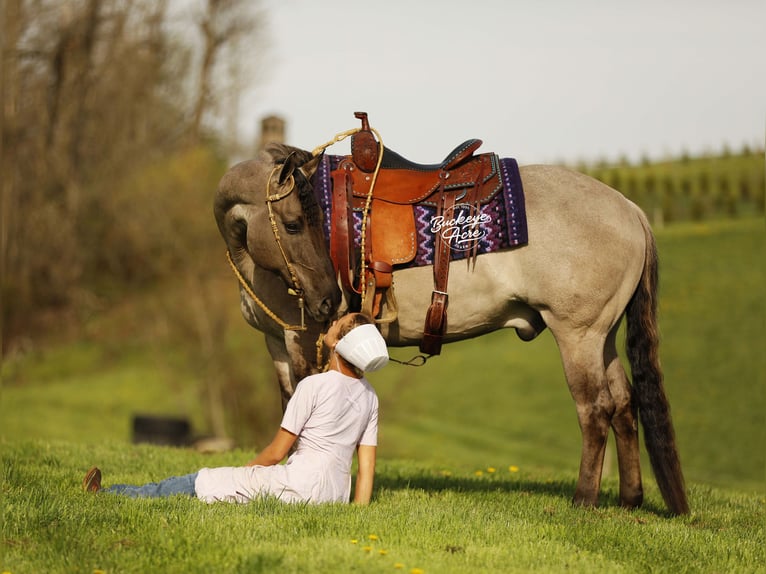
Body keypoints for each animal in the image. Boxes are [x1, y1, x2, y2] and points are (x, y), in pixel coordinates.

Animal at [213, 139, 689, 516]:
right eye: (295, 224)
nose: (328, 299)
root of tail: (630, 209)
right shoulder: (277, 343)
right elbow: (288, 406)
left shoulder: (303, 339)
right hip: (602, 338)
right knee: (625, 404)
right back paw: (629, 499)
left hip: (579, 336)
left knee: (596, 410)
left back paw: (583, 500)